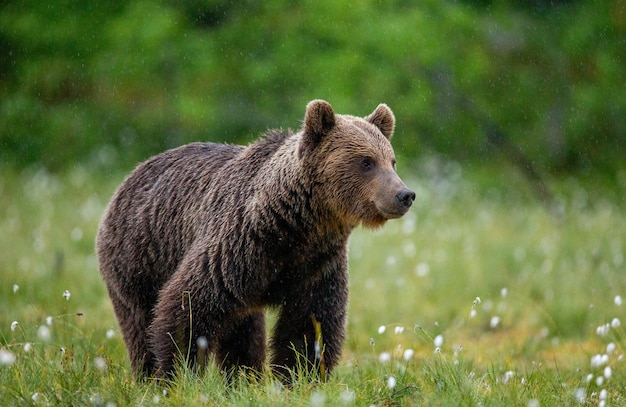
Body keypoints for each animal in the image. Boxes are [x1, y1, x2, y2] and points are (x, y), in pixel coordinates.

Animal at [96, 99, 414, 382]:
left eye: (392, 160)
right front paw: (177, 374)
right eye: (366, 161)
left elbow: (309, 324)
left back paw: (242, 378)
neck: (297, 227)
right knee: (140, 322)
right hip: (138, 258)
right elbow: (187, 307)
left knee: (244, 332)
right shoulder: (237, 247)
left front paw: (299, 376)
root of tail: (131, 174)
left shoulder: (318, 264)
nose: (404, 194)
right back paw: (148, 375)